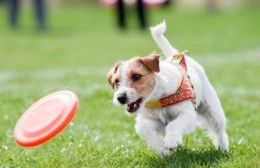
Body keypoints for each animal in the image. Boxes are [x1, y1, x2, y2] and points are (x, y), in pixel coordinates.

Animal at [106, 20, 229, 156]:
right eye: (116, 81)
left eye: (136, 76)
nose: (120, 98)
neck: (158, 97)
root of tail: (175, 55)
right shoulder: (151, 121)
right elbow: (144, 130)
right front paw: (162, 149)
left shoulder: (188, 114)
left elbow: (174, 125)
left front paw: (172, 141)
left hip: (213, 111)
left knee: (219, 131)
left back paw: (223, 148)